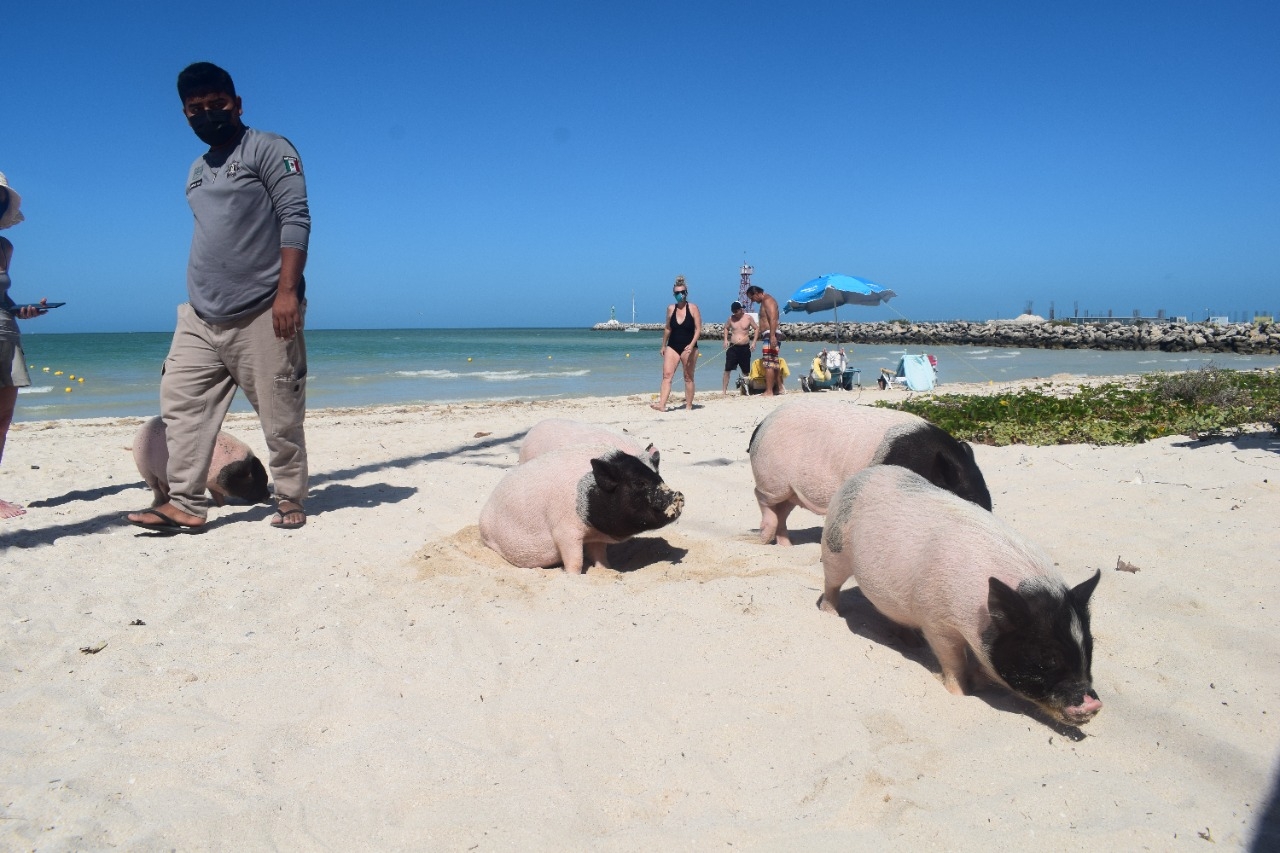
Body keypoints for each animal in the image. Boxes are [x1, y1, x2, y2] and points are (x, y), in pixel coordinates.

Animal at [132, 412, 270, 504]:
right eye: (255, 479)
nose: (268, 496)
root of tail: (142, 428)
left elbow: (218, 496)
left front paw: (222, 505)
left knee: (163, 485)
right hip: (144, 468)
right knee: (155, 487)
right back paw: (157, 504)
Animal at [478, 445, 680, 571]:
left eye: (659, 477)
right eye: (639, 483)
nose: (679, 495)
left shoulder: (596, 537)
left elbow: (600, 556)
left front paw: (607, 570)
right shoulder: (564, 531)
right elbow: (575, 561)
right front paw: (573, 575)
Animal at [747, 399, 988, 545]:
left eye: (988, 503)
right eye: (968, 499)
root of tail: (761, 425)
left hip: (791, 490)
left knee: (782, 510)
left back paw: (786, 545)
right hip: (772, 478)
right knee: (761, 497)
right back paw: (764, 537)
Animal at [824, 461, 1105, 727]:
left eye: (1089, 648)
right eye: (1047, 655)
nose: (1093, 703)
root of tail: (864, 474)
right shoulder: (938, 622)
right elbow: (953, 661)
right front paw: (961, 693)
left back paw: (913, 643)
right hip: (833, 547)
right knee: (831, 584)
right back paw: (830, 614)